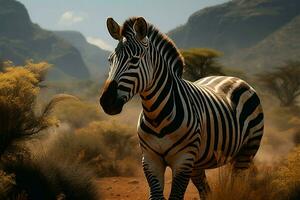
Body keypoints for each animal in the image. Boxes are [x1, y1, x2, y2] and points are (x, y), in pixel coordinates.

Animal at [99, 17, 264, 200]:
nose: (106, 101)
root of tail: (233, 78)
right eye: (110, 60)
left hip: (246, 151)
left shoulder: (183, 160)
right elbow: (156, 196)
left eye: (134, 60)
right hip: (198, 162)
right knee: (205, 190)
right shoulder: (150, 159)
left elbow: (176, 196)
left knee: (237, 183)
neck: (156, 116)